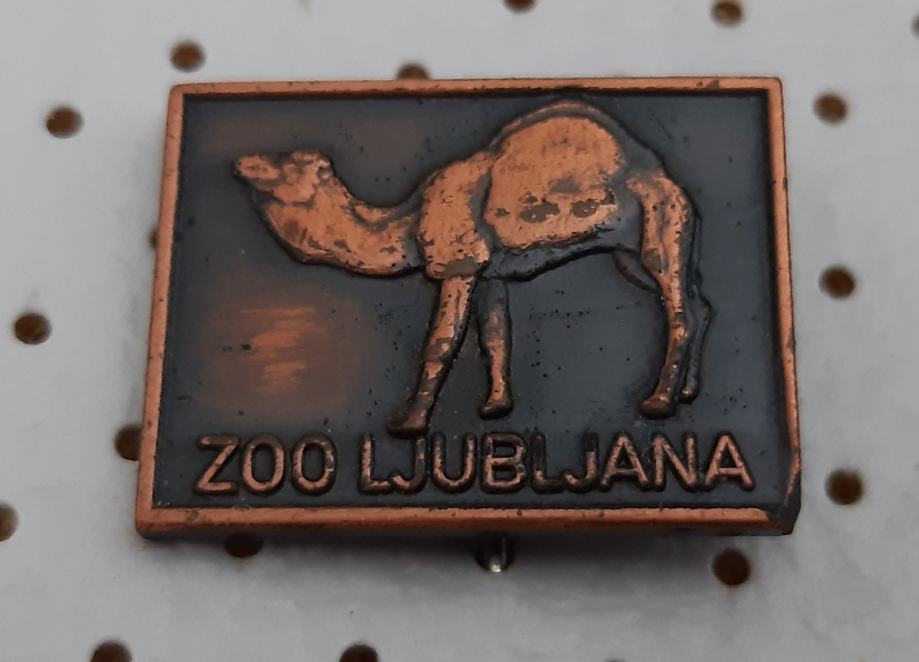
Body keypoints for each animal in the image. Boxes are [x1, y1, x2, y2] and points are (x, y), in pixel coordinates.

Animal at [234, 100, 711, 438]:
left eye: (287, 162)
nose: (241, 163)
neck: (406, 220)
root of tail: (663, 175)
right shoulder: (489, 270)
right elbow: (496, 336)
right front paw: (495, 407)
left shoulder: (457, 261)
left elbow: (441, 343)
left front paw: (409, 423)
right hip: (636, 248)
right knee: (698, 303)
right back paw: (688, 392)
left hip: (661, 217)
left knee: (678, 310)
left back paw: (659, 402)